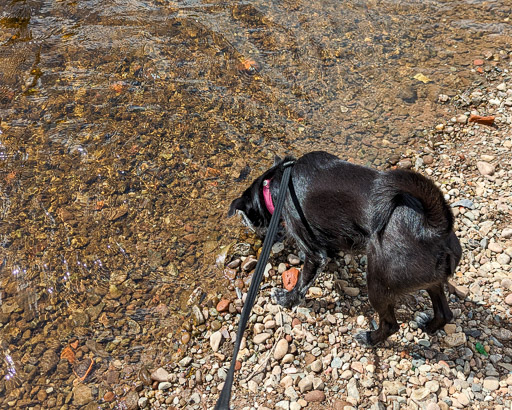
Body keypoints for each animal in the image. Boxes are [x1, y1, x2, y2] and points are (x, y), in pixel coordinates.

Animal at [230, 151, 462, 346]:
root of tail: (433, 230)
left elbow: (302, 283)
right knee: (444, 313)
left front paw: (286, 299)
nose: (252, 231)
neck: (278, 183)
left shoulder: (313, 252)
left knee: (390, 325)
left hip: (378, 284)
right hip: (431, 282)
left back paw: (369, 338)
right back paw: (429, 326)